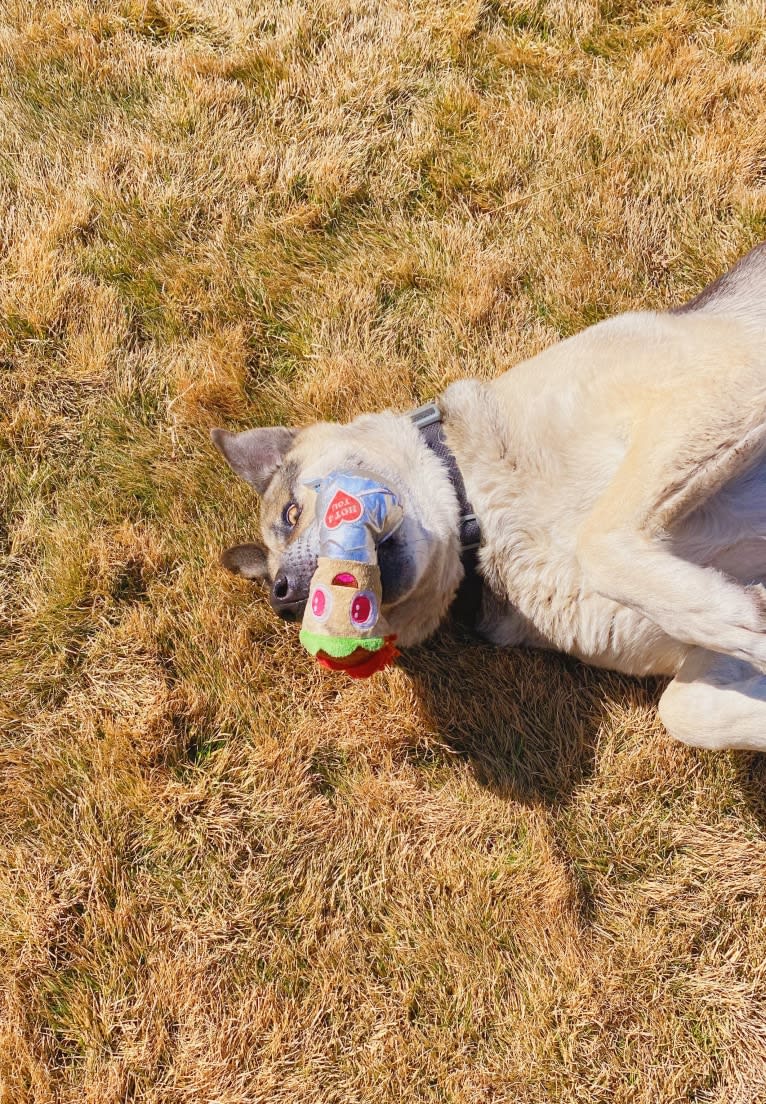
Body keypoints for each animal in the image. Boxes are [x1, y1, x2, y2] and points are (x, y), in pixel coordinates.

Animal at [211, 246, 766, 755]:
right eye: (290, 610)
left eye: (290, 512)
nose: (284, 596)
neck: (479, 514)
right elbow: (685, 712)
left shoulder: (718, 382)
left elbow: (598, 541)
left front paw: (724, 614)